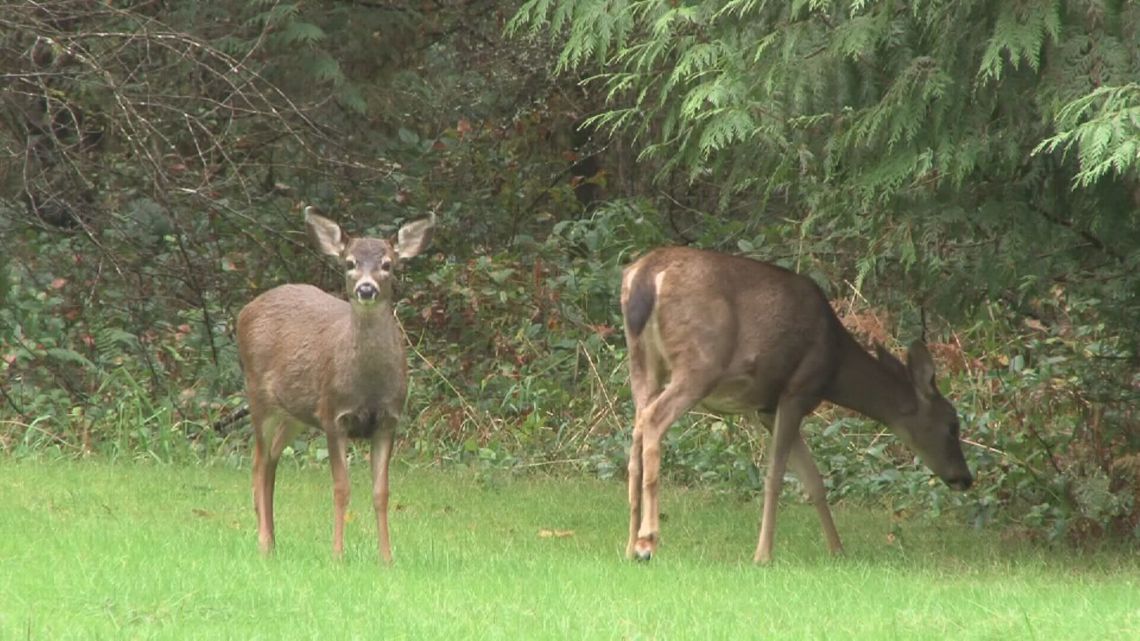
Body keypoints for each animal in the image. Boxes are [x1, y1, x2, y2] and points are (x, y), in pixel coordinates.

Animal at [235, 204, 435, 558]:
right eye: (350, 263)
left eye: (387, 264)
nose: (366, 289)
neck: (368, 386)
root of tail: (244, 311)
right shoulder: (333, 415)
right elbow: (341, 488)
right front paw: (338, 555)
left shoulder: (389, 421)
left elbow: (381, 493)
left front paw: (387, 557)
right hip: (258, 397)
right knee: (258, 463)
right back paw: (263, 542)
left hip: (295, 414)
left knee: (271, 460)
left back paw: (273, 540)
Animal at [620, 247, 975, 561]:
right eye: (952, 425)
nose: (965, 478)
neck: (835, 368)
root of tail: (644, 275)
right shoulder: (798, 390)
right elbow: (776, 476)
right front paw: (763, 555)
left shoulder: (767, 408)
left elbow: (813, 480)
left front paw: (838, 551)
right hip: (700, 362)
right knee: (654, 419)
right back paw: (648, 540)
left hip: (643, 361)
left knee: (638, 426)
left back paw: (630, 545)